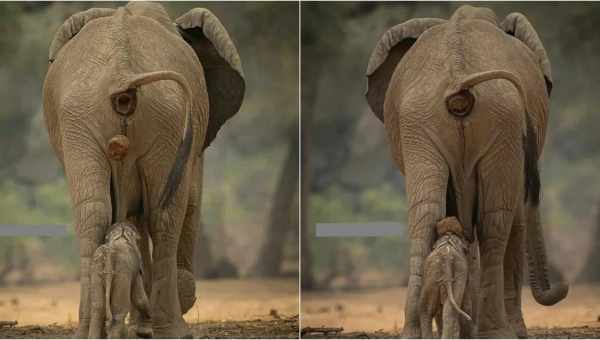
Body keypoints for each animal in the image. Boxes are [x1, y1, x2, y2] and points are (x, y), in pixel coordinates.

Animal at [42, 1, 244, 338]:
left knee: (95, 211)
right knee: (166, 212)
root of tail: (122, 75)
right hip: (157, 117)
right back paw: (174, 329)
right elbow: (188, 201)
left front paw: (142, 324)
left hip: (97, 118)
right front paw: (151, 319)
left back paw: (90, 331)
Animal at [366, 4, 568, 338]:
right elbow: (510, 220)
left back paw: (418, 331)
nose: (563, 287)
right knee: (496, 221)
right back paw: (497, 332)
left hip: (423, 120)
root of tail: (458, 78)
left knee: (425, 215)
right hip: (497, 119)